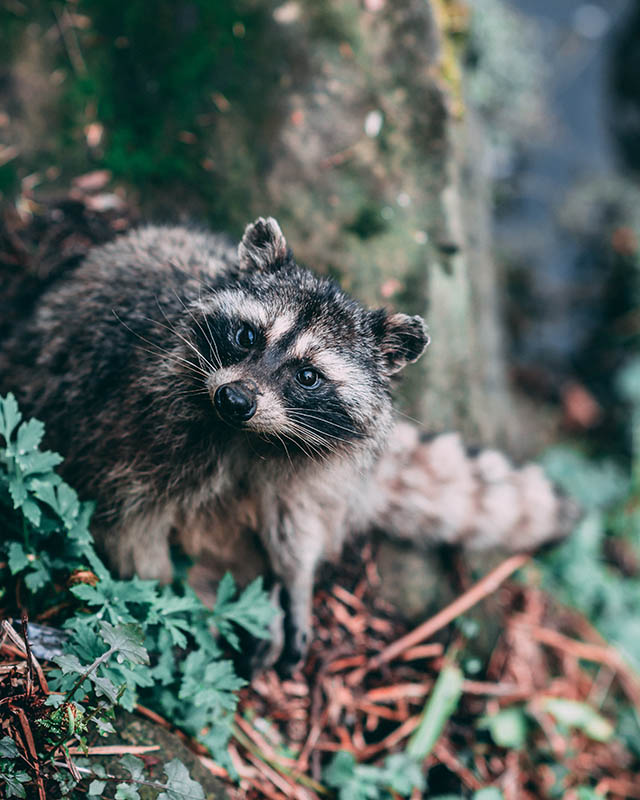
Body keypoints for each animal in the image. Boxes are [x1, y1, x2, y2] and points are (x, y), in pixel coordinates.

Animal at [0, 217, 576, 664]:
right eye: (247, 336)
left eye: (308, 376)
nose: (234, 399)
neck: (249, 435)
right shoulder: (137, 424)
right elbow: (129, 527)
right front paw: (181, 594)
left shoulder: (315, 466)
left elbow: (298, 525)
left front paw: (296, 581)